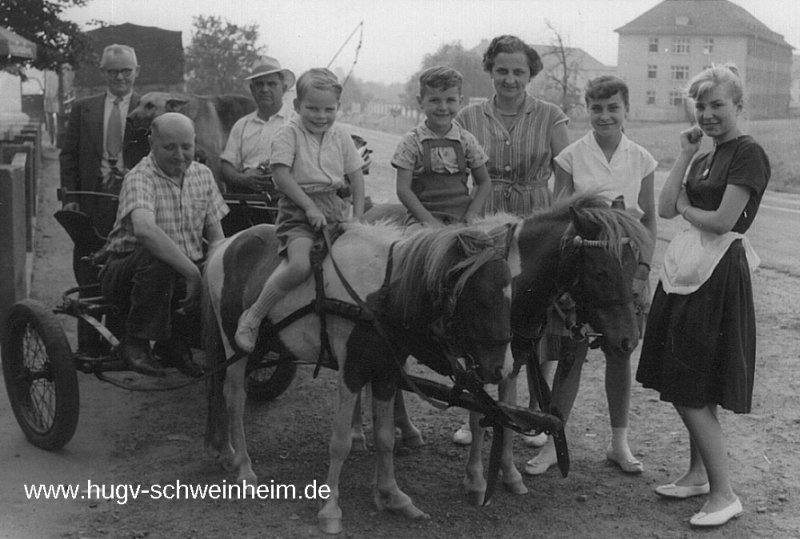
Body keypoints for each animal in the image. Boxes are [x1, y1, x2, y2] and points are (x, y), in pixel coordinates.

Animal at [203, 220, 516, 536]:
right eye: (482, 299)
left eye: (510, 298)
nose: (502, 369)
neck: (382, 294)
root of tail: (226, 244)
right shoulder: (352, 372)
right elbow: (340, 442)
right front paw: (330, 509)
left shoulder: (386, 373)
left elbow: (385, 437)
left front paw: (393, 496)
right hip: (237, 348)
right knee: (234, 399)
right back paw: (244, 467)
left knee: (219, 389)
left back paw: (225, 452)